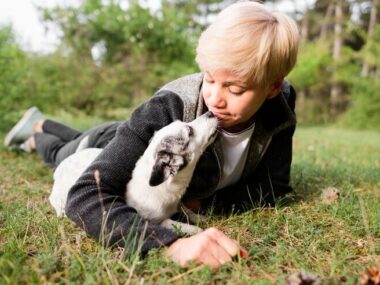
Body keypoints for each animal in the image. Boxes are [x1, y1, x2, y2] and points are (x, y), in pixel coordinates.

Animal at [49, 110, 220, 233]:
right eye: (189, 131)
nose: (210, 112)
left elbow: (185, 210)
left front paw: (199, 217)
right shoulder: (152, 220)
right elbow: (170, 222)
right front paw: (194, 229)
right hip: (60, 195)